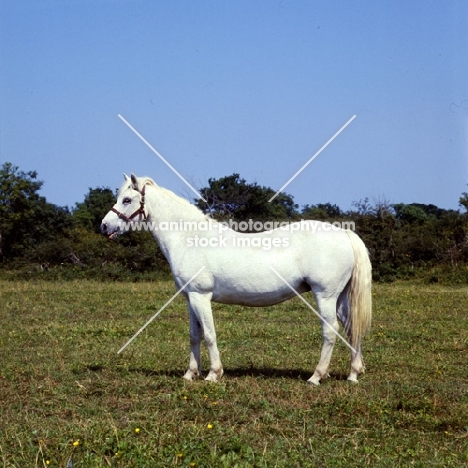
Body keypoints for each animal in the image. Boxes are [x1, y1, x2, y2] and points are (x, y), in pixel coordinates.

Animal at [100, 174, 372, 386]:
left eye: (127, 200)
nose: (104, 226)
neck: (190, 237)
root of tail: (344, 233)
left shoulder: (201, 296)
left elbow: (209, 334)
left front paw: (213, 374)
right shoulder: (190, 298)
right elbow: (194, 335)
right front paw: (190, 374)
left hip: (325, 295)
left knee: (331, 331)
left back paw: (316, 376)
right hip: (339, 297)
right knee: (352, 328)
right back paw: (353, 374)